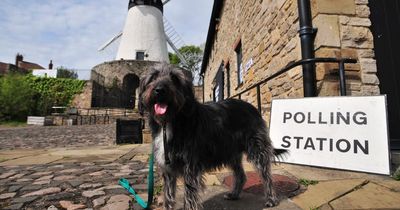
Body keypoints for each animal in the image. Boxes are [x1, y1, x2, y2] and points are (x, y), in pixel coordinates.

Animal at [139, 64, 286, 210]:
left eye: (175, 78)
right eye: (153, 77)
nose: (159, 90)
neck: (170, 122)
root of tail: (252, 107)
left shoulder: (190, 167)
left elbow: (190, 197)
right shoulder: (168, 169)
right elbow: (168, 196)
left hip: (257, 150)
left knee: (266, 176)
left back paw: (271, 199)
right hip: (231, 153)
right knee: (241, 175)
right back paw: (234, 194)